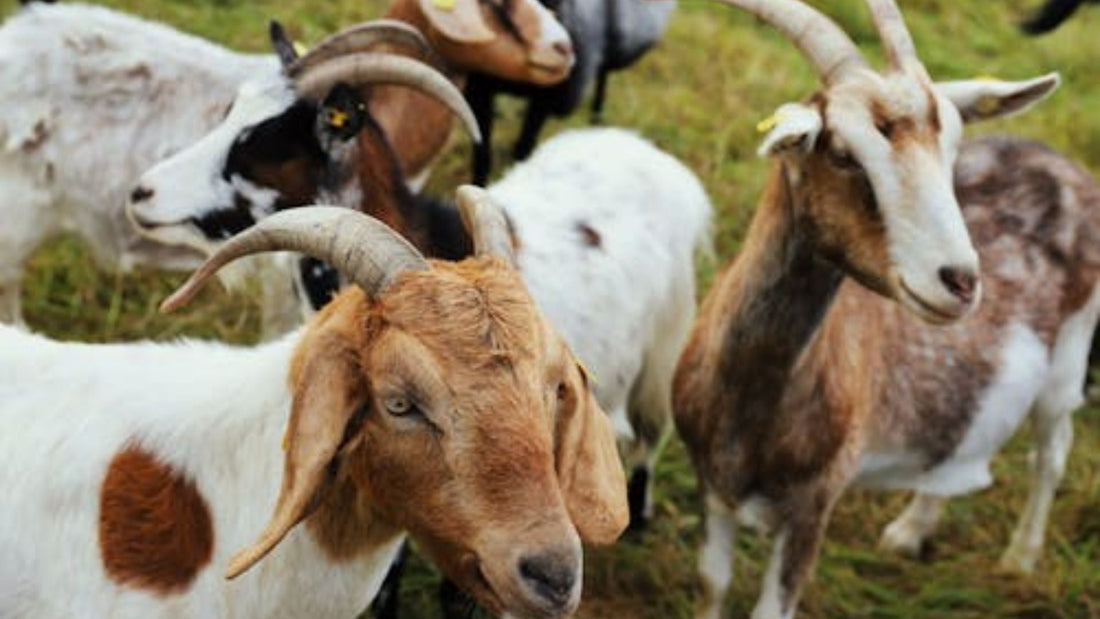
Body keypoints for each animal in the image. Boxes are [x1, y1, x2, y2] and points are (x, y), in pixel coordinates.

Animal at [670, 1, 1077, 618]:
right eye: (843, 153)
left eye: (951, 152)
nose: (961, 281)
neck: (753, 397)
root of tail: (1066, 165)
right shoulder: (714, 487)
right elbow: (711, 583)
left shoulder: (813, 504)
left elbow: (772, 606)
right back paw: (910, 532)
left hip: (1068, 358)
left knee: (1051, 453)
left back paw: (1020, 559)